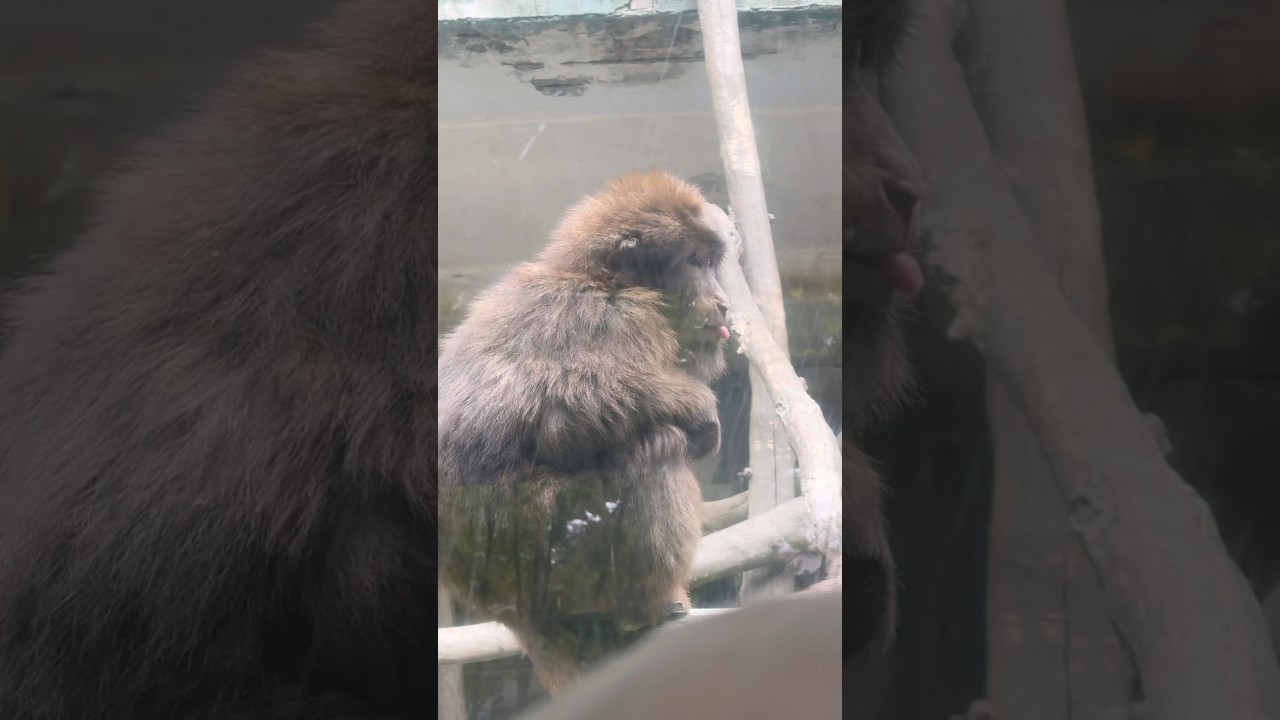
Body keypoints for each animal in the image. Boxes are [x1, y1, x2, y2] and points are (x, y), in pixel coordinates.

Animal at [437, 170, 731, 696]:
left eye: (711, 262)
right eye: (693, 262)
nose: (723, 302)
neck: (597, 279)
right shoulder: (619, 315)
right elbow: (566, 413)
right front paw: (695, 408)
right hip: (557, 559)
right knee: (655, 448)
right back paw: (645, 606)